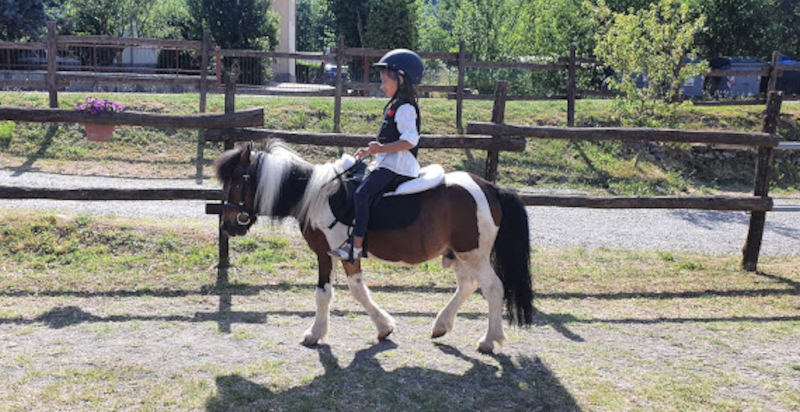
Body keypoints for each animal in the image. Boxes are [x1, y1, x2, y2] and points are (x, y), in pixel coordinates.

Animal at [214, 140, 533, 353]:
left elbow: (339, 293)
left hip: (474, 255)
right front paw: (381, 328)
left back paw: (489, 340)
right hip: (461, 255)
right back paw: (442, 325)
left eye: (237, 181)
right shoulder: (334, 255)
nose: (228, 225)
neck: (315, 195)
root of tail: (490, 187)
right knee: (467, 285)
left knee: (493, 288)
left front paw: (320, 333)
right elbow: (341, 292)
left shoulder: (334, 253)